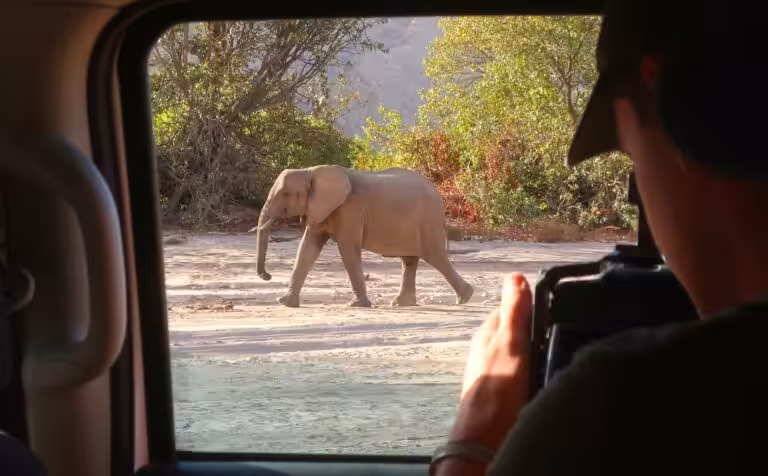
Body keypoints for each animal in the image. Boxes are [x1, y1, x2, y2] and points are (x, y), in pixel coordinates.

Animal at [255, 165, 474, 308]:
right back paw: (402, 304)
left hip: (427, 222)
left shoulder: (350, 210)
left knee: (435, 257)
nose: (267, 276)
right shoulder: (322, 209)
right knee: (409, 260)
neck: (310, 171)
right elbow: (307, 247)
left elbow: (348, 249)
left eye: (284, 194)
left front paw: (357, 305)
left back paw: (465, 297)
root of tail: (439, 197)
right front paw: (285, 303)